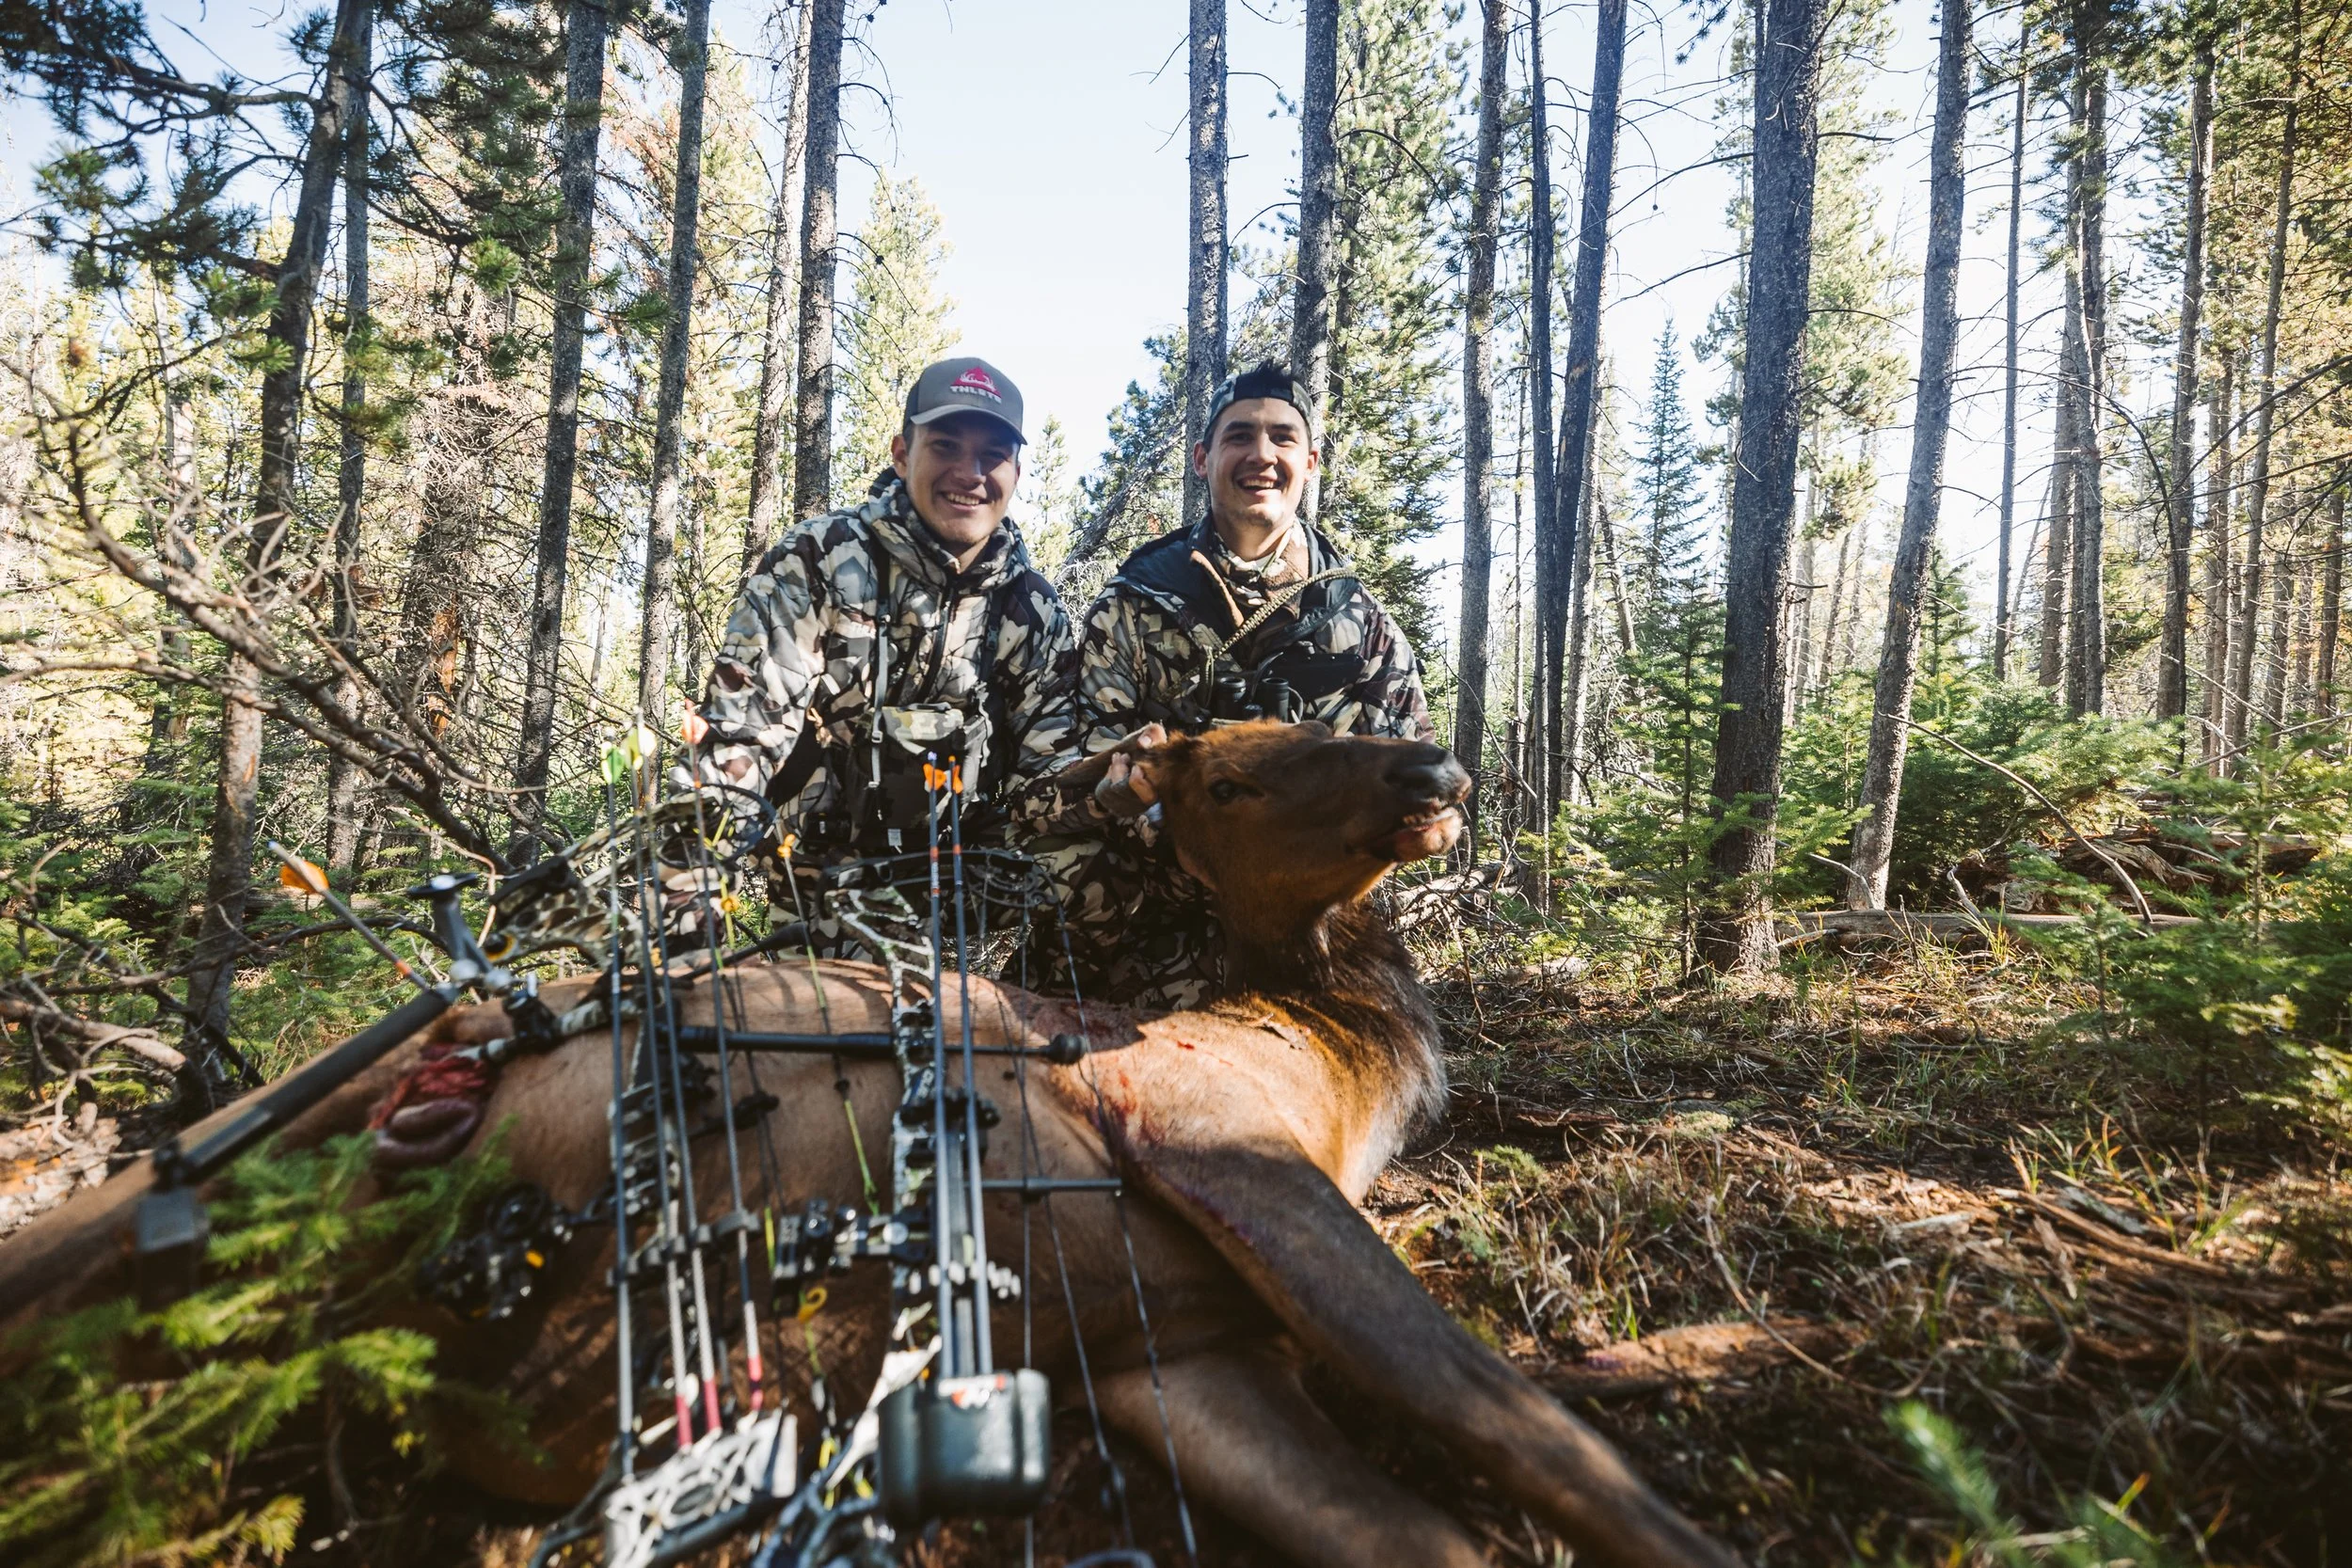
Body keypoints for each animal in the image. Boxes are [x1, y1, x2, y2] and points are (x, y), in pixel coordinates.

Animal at [0, 722, 1738, 1568]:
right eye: (1241, 772)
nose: (1435, 770)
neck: (1345, 1056)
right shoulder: (1223, 1146)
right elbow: (1536, 1432)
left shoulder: (1180, 1352)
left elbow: (1436, 1537)